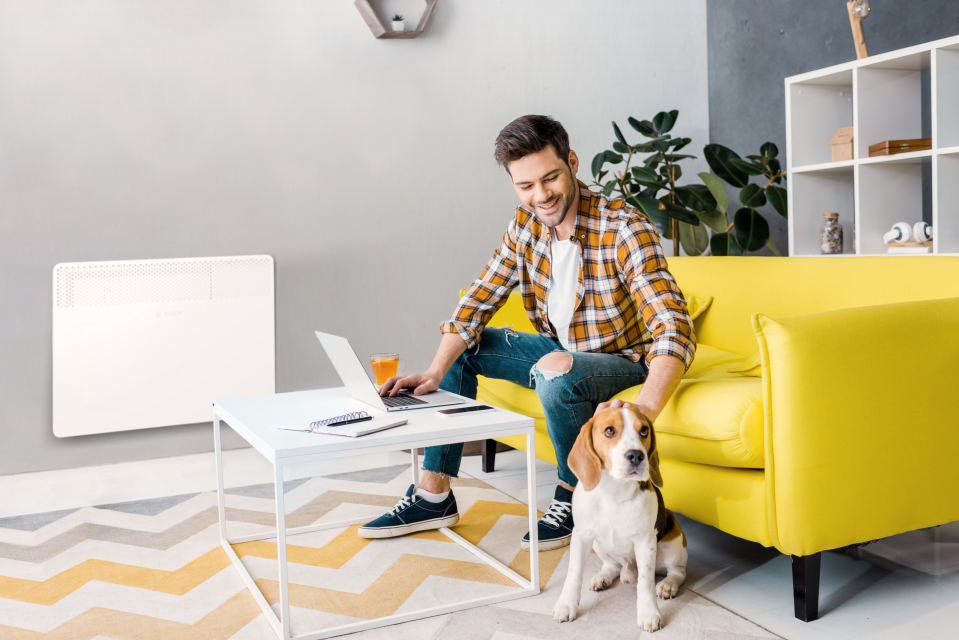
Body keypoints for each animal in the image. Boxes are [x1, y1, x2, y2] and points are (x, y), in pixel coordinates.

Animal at [552, 408, 688, 632]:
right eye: (609, 431)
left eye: (644, 431)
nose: (636, 455)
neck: (614, 492)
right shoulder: (581, 536)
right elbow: (574, 573)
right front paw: (565, 605)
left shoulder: (645, 542)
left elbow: (645, 582)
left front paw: (649, 614)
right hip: (598, 545)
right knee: (612, 565)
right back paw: (604, 577)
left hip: (673, 543)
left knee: (678, 572)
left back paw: (668, 585)